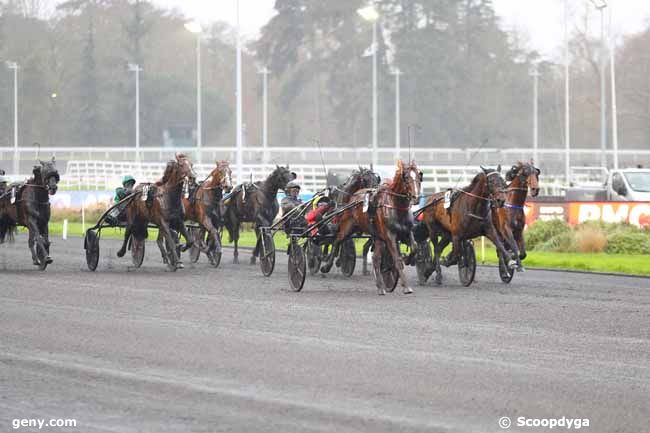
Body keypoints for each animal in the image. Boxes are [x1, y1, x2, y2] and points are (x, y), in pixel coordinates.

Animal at [322, 160, 422, 296]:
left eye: (419, 176)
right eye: (406, 177)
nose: (416, 198)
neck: (396, 206)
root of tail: (354, 196)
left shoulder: (407, 232)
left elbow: (415, 247)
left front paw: (408, 259)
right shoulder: (390, 236)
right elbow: (397, 259)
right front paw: (406, 287)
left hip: (378, 236)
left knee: (376, 258)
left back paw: (380, 287)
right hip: (348, 227)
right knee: (337, 240)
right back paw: (326, 266)